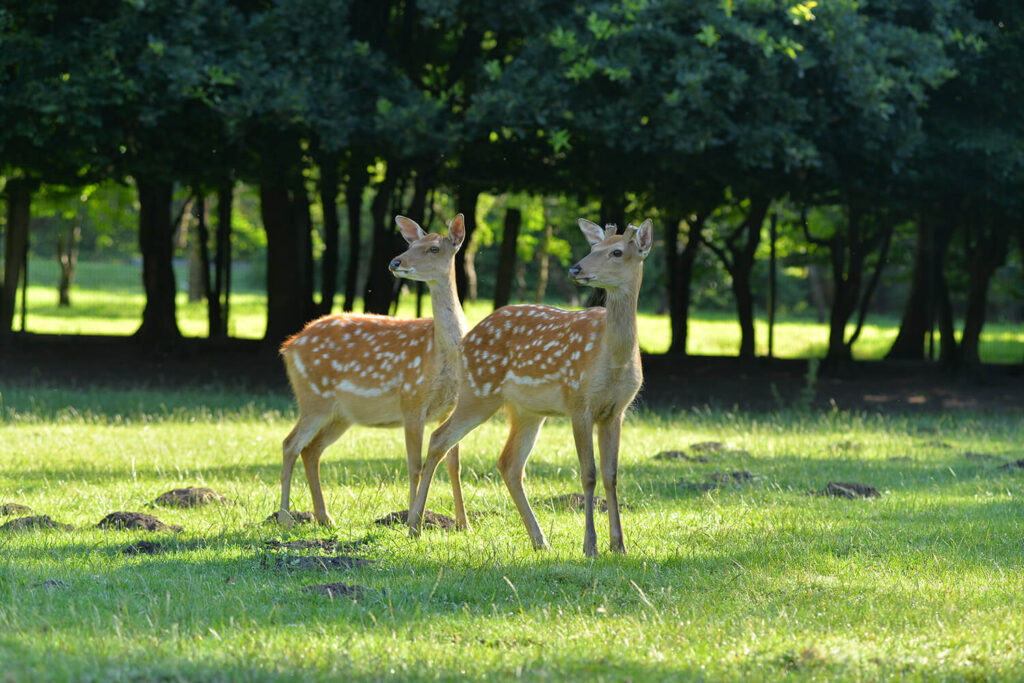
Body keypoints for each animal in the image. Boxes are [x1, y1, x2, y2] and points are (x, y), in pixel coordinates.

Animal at [276, 214, 470, 529]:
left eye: (433, 248)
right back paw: (285, 518)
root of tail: (289, 346)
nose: (395, 262)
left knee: (311, 449)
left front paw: (464, 524)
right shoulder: (411, 399)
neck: (443, 354)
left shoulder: (448, 408)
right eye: (411, 244)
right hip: (313, 398)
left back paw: (325, 518)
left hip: (340, 414)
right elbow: (414, 465)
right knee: (290, 444)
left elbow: (453, 464)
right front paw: (411, 521)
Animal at [406, 217, 654, 557]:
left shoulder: (616, 411)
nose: (576, 269)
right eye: (594, 247)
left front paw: (619, 545)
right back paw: (414, 526)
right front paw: (590, 546)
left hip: (528, 411)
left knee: (508, 463)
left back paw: (540, 540)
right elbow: (588, 474)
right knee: (439, 439)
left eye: (616, 251)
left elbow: (611, 475)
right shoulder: (578, 401)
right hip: (478, 392)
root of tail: (465, 341)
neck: (612, 359)